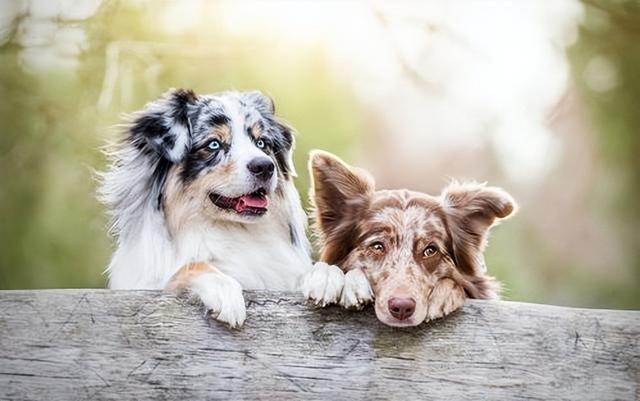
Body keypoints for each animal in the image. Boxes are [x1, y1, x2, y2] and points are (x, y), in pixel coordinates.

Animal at [97, 89, 312, 326]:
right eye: (214, 144)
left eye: (262, 143)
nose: (264, 166)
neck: (231, 230)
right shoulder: (148, 286)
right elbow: (190, 267)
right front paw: (225, 292)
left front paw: (326, 278)